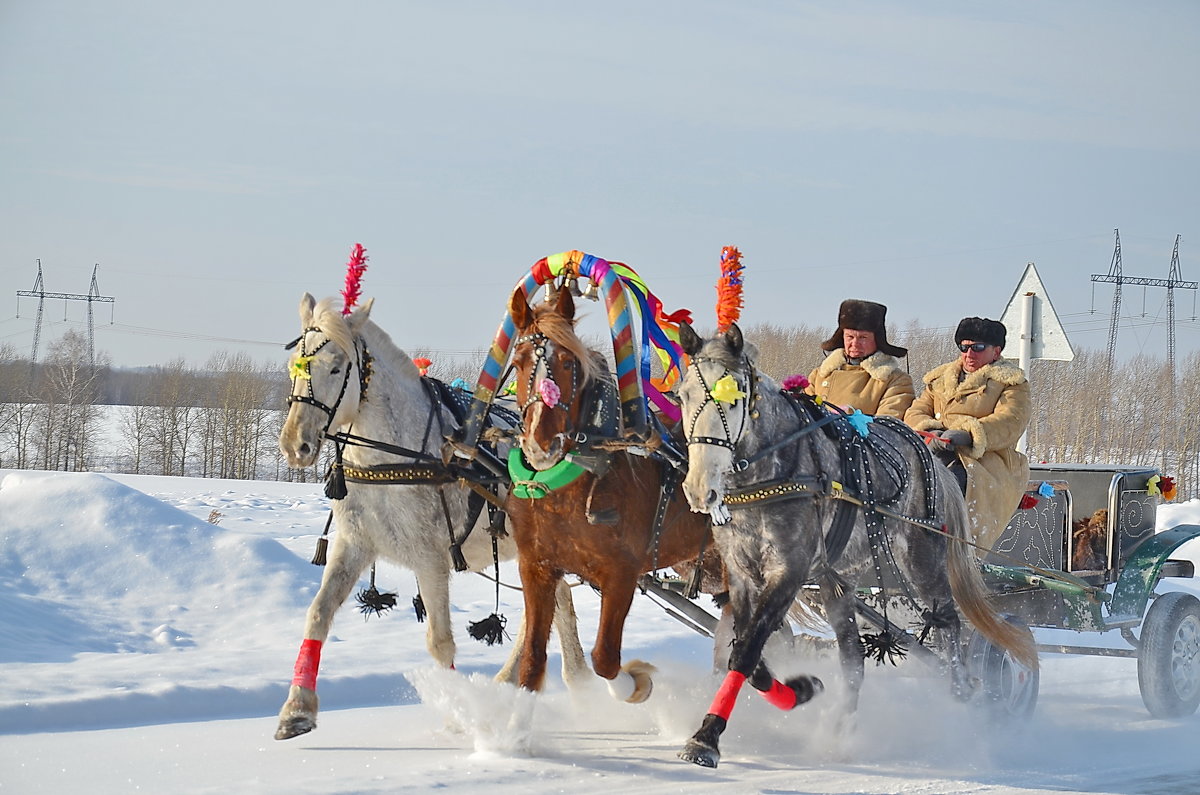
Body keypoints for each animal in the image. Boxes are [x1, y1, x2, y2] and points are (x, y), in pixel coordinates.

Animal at [273, 293, 590, 739]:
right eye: (293, 368)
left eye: (336, 367)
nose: (294, 444)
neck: (394, 459)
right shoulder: (354, 543)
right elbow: (318, 613)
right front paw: (297, 710)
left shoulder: (431, 558)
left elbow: (440, 641)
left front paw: (461, 710)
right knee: (551, 604)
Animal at [504, 284, 715, 706]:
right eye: (517, 362)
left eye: (568, 362)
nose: (540, 445)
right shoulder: (537, 568)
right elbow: (532, 660)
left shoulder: (621, 574)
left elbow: (604, 658)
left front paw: (637, 683)